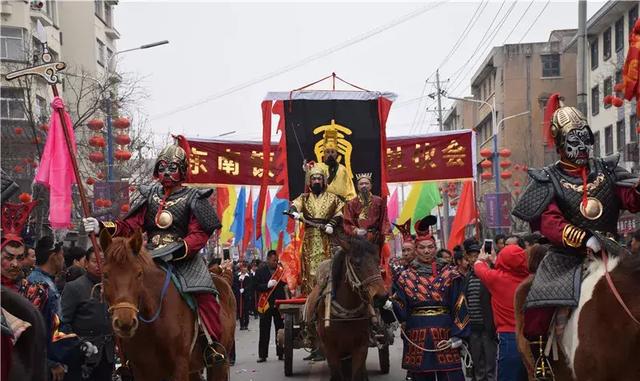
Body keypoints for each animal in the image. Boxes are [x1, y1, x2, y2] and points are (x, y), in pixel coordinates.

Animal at [101, 230, 236, 380]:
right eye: (105, 275)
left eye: (139, 274)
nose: (125, 322)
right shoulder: (141, 370)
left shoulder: (179, 366)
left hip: (220, 363)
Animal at [312, 238, 388, 380]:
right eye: (356, 263)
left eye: (377, 261)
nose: (381, 297)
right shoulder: (329, 347)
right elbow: (337, 374)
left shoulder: (361, 346)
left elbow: (357, 373)